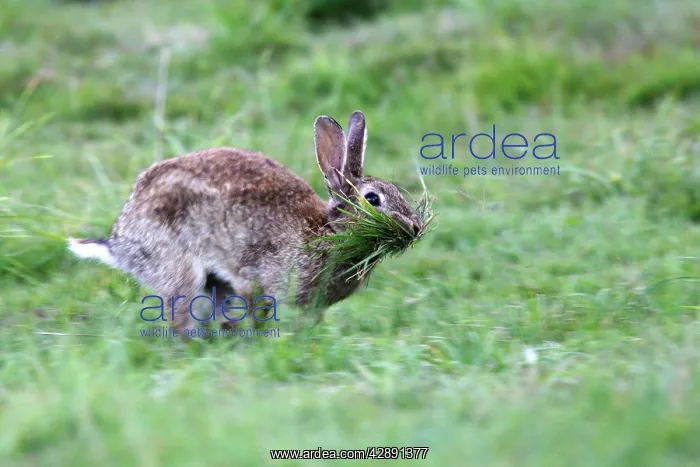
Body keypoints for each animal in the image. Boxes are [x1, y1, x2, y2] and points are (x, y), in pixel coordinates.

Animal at [68, 111, 422, 333]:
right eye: (373, 199)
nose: (415, 227)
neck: (329, 232)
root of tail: (120, 241)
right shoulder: (257, 278)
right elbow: (258, 311)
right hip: (179, 269)